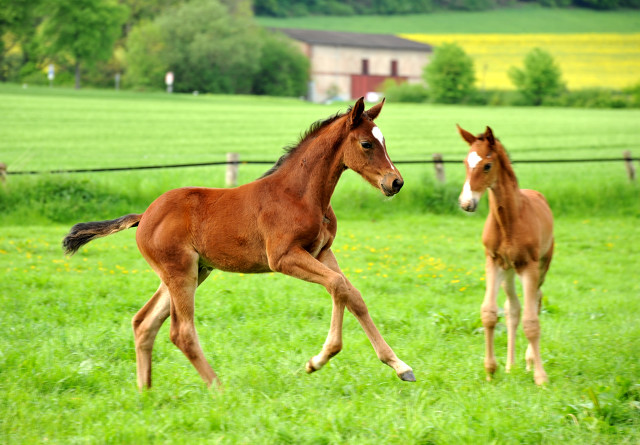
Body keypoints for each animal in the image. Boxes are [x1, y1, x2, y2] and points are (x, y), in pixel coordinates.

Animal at [63, 98, 416, 388]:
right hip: (180, 272)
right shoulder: (284, 257)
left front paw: (400, 366)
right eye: (367, 143)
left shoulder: (322, 252)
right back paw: (218, 389)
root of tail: (145, 215)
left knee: (143, 323)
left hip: (193, 272)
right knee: (181, 332)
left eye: (384, 142)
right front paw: (319, 360)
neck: (300, 194)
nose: (395, 182)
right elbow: (337, 286)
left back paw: (145, 391)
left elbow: (352, 294)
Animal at [458, 125, 552, 386]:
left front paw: (541, 377)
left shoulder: (529, 266)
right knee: (513, 308)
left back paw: (529, 362)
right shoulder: (493, 262)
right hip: (509, 271)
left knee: (536, 301)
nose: (466, 203)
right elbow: (490, 313)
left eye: (487, 165)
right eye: (465, 162)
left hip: (541, 266)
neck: (509, 219)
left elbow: (531, 322)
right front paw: (491, 370)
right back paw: (511, 366)